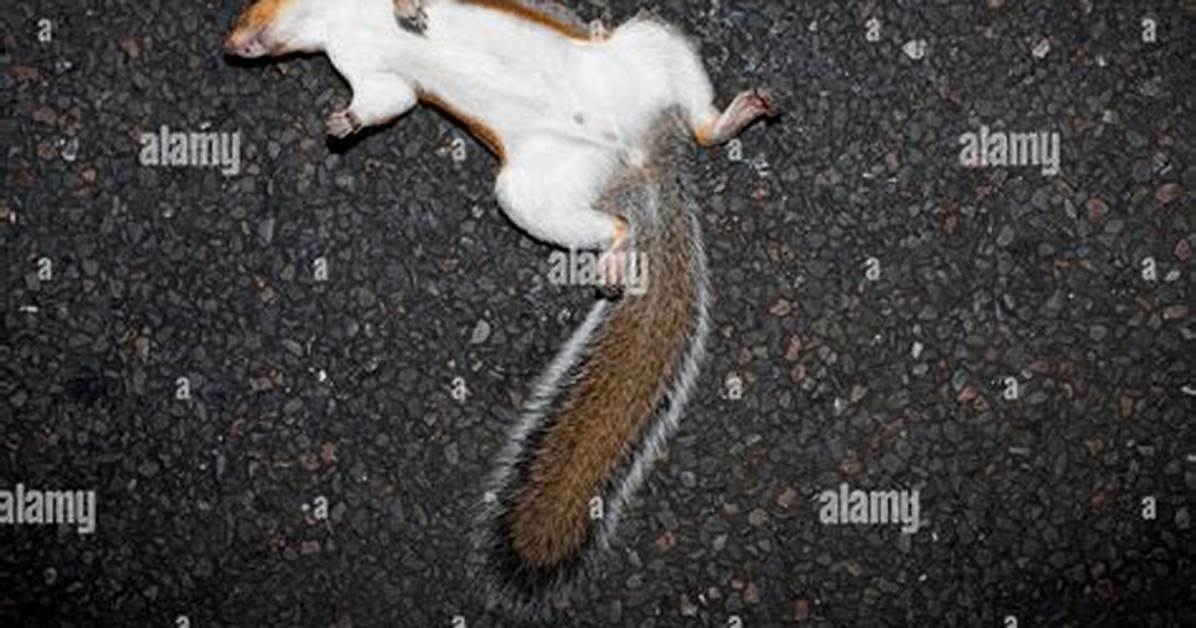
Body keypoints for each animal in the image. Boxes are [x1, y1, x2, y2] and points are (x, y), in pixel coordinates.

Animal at [225, 0, 776, 617]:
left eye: (254, 5)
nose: (232, 45)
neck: (333, 22)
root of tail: (638, 164)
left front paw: (409, 12)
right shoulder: (369, 75)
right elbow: (386, 99)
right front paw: (344, 122)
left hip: (647, 48)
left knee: (695, 127)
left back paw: (725, 125)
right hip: (534, 192)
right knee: (625, 211)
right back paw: (619, 252)